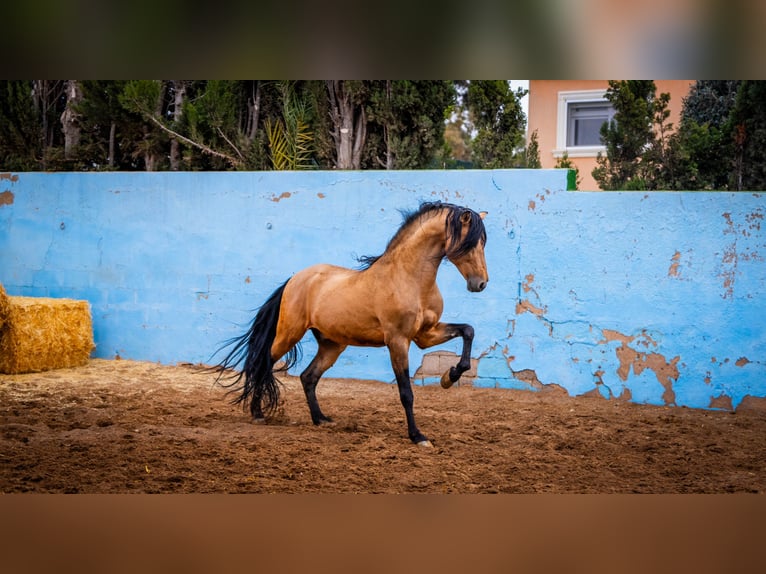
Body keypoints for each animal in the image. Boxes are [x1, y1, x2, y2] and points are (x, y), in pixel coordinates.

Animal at [213, 200, 488, 448]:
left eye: (483, 243)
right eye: (470, 243)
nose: (481, 284)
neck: (410, 279)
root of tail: (294, 279)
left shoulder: (425, 335)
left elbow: (468, 331)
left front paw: (450, 376)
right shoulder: (398, 341)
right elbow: (406, 393)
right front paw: (418, 437)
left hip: (332, 345)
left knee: (308, 377)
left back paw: (321, 419)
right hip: (288, 334)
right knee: (263, 363)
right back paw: (258, 414)